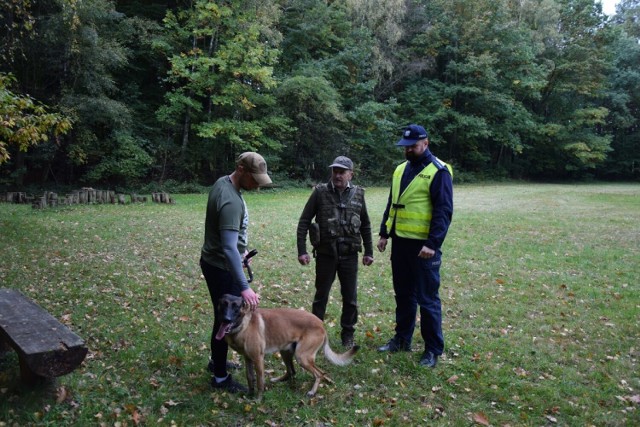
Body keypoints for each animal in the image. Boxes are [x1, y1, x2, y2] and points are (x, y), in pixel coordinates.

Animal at [216, 294, 358, 398]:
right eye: (224, 304)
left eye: (236, 307)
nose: (226, 319)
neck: (243, 325)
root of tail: (321, 325)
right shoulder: (248, 359)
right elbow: (250, 378)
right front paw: (249, 394)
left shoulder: (258, 359)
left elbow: (260, 382)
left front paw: (258, 399)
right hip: (286, 352)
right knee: (292, 372)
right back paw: (279, 380)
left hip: (302, 357)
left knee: (319, 373)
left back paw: (313, 391)